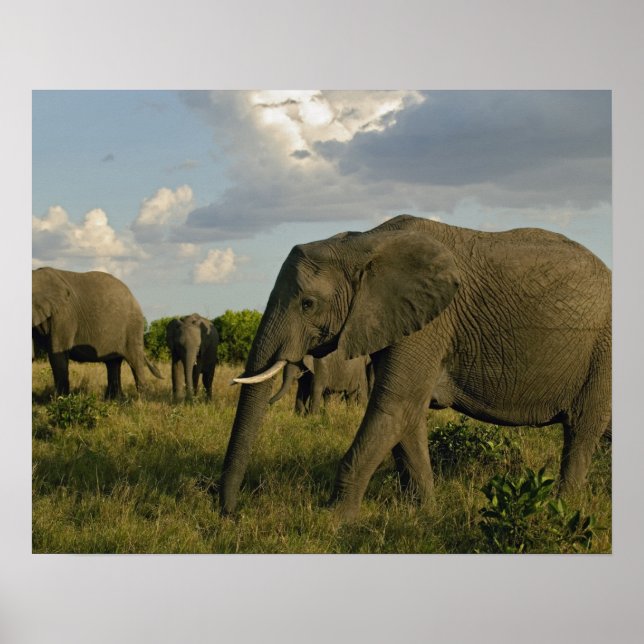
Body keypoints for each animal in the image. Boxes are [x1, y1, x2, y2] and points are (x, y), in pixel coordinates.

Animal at [32, 267, 162, 399]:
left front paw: (60, 400)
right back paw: (114, 400)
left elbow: (58, 353)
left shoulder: (63, 315)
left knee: (134, 361)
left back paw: (141, 400)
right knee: (113, 363)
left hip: (133, 326)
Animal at [220, 215, 611, 521]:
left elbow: (394, 407)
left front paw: (332, 521)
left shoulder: (430, 324)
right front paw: (423, 513)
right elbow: (406, 417)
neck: (362, 243)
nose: (229, 513)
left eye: (308, 304)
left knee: (582, 430)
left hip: (603, 350)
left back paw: (561, 510)